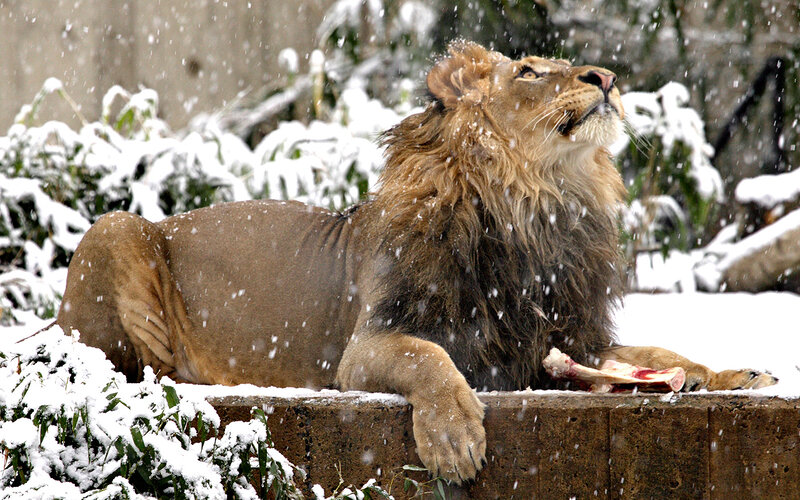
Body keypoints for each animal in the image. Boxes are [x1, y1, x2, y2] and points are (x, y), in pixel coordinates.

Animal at [57, 41, 777, 484]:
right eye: (528, 72)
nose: (606, 79)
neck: (538, 206)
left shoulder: (559, 337)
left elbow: (662, 354)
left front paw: (735, 374)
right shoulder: (366, 348)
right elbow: (426, 358)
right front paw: (455, 438)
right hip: (115, 228)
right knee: (141, 366)